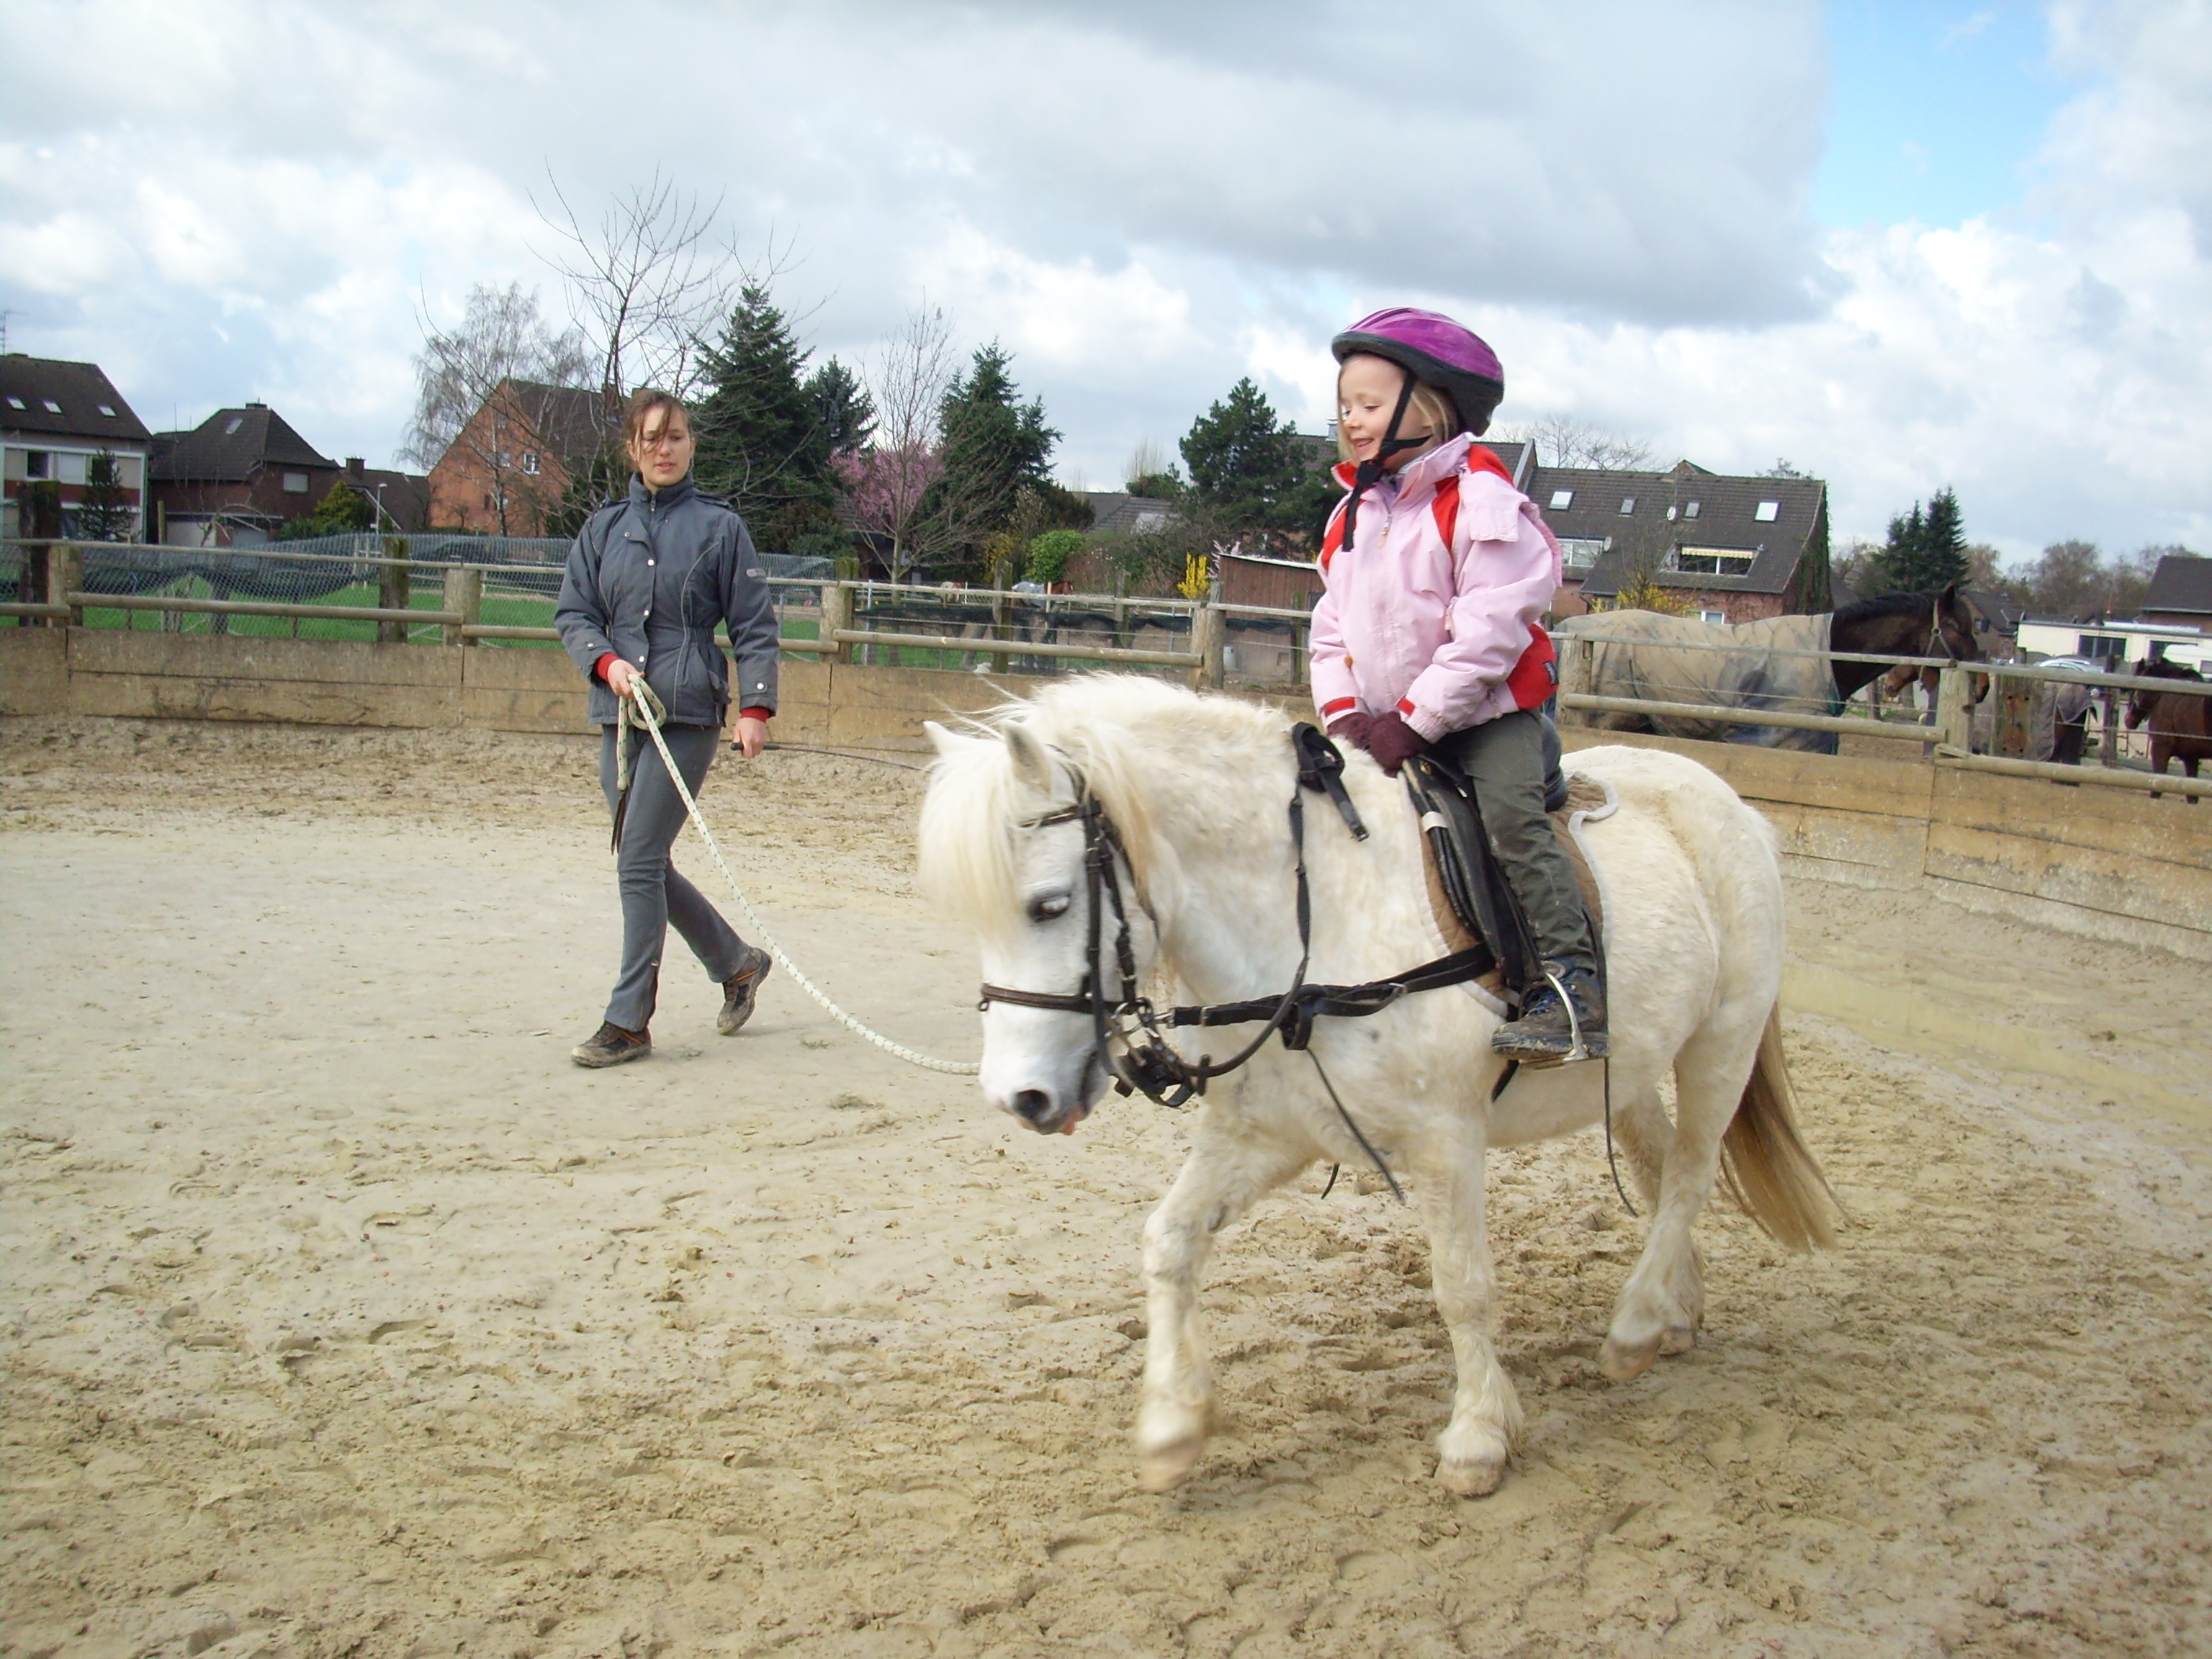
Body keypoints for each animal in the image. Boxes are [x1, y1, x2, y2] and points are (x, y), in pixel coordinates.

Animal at [915, 677, 1831, 1503]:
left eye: (1049, 904)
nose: (1020, 1098)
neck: (1311, 924)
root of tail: (1727, 802)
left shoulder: (1445, 1142)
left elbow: (1462, 1286)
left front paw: (1477, 1437)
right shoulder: (1263, 1136)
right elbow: (1170, 1242)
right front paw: (1173, 1427)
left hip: (1721, 1043)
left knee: (1691, 1176)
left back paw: (1639, 1323)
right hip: (1632, 1066)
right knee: (1660, 1167)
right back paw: (1675, 1309)